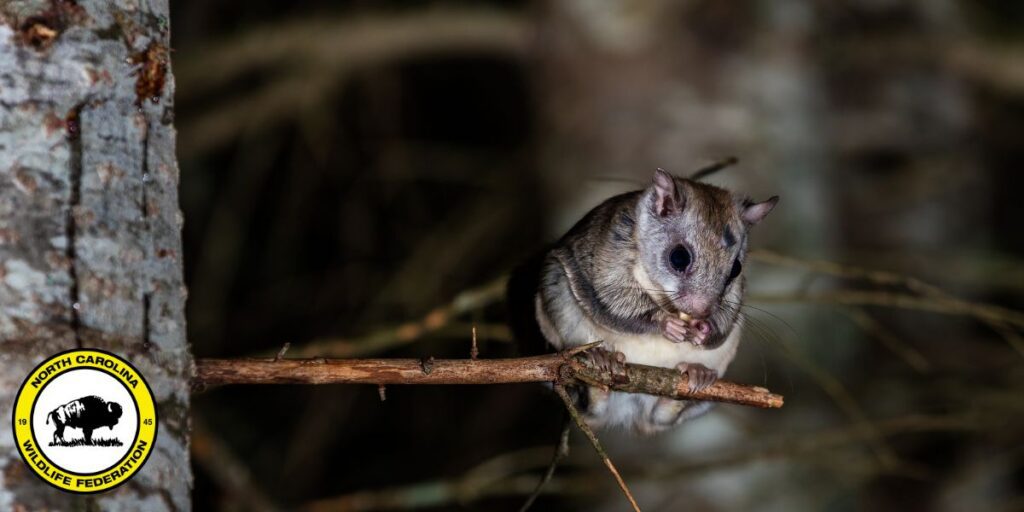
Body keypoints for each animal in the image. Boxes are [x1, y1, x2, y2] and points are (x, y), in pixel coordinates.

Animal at [518, 168, 777, 435]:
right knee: (590, 405)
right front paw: (667, 324)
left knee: (661, 418)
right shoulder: (609, 261)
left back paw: (694, 377)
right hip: (558, 297)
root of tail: (626, 414)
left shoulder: (734, 300)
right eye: (679, 257)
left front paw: (704, 330)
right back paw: (601, 362)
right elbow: (618, 305)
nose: (702, 311)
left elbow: (723, 323)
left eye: (736, 269)